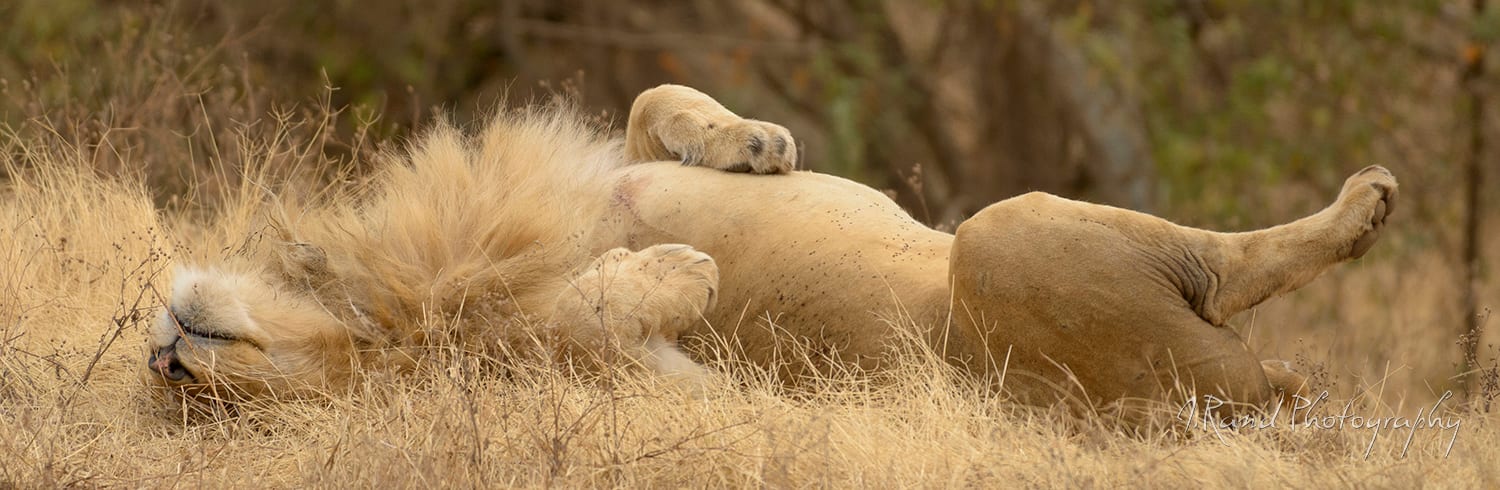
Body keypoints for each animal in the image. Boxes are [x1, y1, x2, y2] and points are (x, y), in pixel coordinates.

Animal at [147, 85, 1395, 415]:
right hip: (1010, 242)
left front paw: (749, 141)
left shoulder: (615, 160)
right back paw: (1361, 207)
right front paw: (676, 273)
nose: (168, 363)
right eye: (216, 409)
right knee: (1241, 288)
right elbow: (598, 317)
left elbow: (655, 103)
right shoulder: (640, 379)